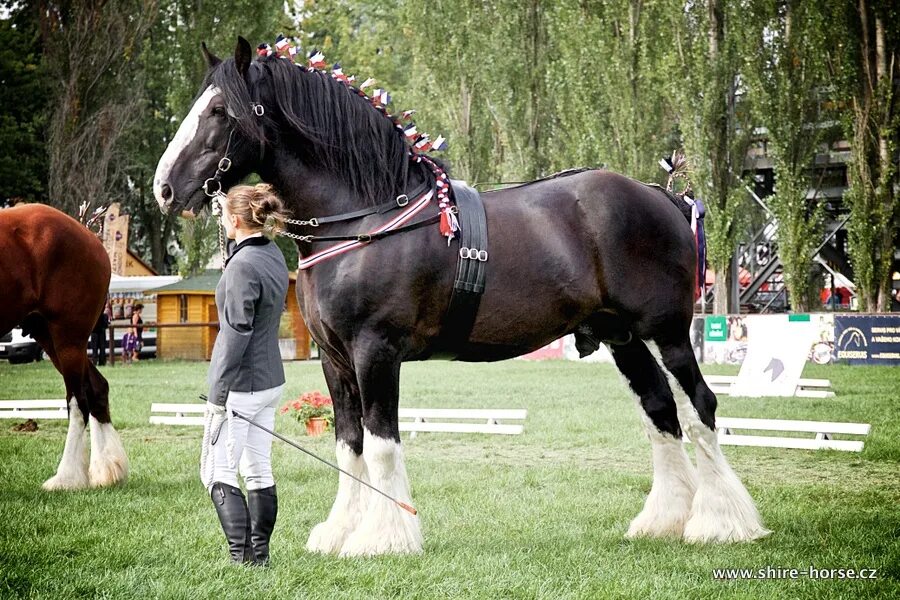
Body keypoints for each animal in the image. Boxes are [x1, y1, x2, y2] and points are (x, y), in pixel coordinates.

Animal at [0, 204, 128, 490]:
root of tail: (89, 234)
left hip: (68, 338)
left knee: (79, 403)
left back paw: (67, 477)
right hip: (48, 335)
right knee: (97, 388)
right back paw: (106, 468)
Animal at [153, 36, 768, 552]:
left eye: (219, 111)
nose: (163, 189)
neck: (368, 217)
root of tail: (663, 196)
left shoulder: (376, 352)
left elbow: (381, 442)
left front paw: (384, 538)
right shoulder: (335, 360)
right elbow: (349, 443)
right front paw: (339, 532)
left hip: (667, 333)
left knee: (700, 408)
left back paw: (721, 523)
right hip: (622, 338)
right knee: (660, 411)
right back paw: (663, 522)